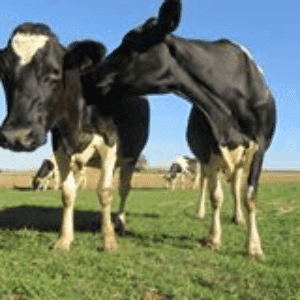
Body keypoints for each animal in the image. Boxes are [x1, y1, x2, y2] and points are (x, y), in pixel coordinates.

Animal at [0, 23, 149, 252]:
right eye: (4, 72)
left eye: (55, 71)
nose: (16, 136)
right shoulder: (60, 147)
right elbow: (68, 192)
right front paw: (64, 239)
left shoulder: (110, 142)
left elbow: (105, 191)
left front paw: (108, 240)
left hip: (131, 157)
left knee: (124, 189)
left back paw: (119, 222)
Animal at [80, 0, 276, 258]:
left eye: (130, 42)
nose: (90, 74)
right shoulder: (212, 148)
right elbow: (215, 195)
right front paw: (214, 238)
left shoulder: (259, 147)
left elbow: (250, 196)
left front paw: (254, 247)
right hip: (205, 159)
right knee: (209, 185)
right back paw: (203, 214)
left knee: (235, 185)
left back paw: (238, 218)